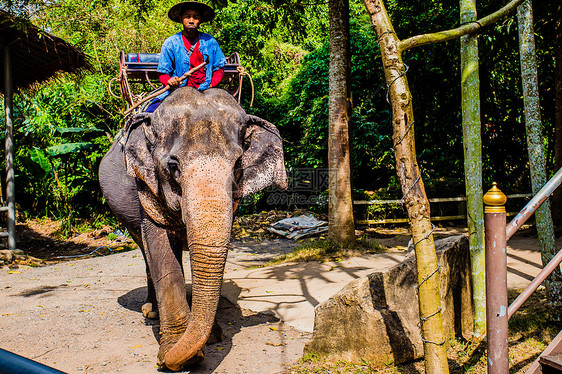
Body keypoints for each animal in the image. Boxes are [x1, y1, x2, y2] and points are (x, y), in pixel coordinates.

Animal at [97, 87, 286, 372]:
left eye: (237, 166)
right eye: (173, 166)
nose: (162, 362)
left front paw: (212, 337)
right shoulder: (147, 190)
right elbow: (163, 256)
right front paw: (177, 351)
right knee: (145, 252)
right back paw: (151, 311)